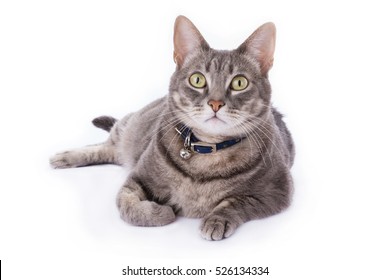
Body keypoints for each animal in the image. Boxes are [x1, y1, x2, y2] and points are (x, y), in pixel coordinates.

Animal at [51, 15, 296, 241]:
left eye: (239, 83)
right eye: (197, 80)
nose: (215, 103)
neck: (207, 153)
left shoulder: (277, 191)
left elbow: (236, 202)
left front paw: (216, 220)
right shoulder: (137, 177)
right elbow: (128, 206)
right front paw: (163, 212)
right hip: (131, 127)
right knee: (109, 144)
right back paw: (65, 156)